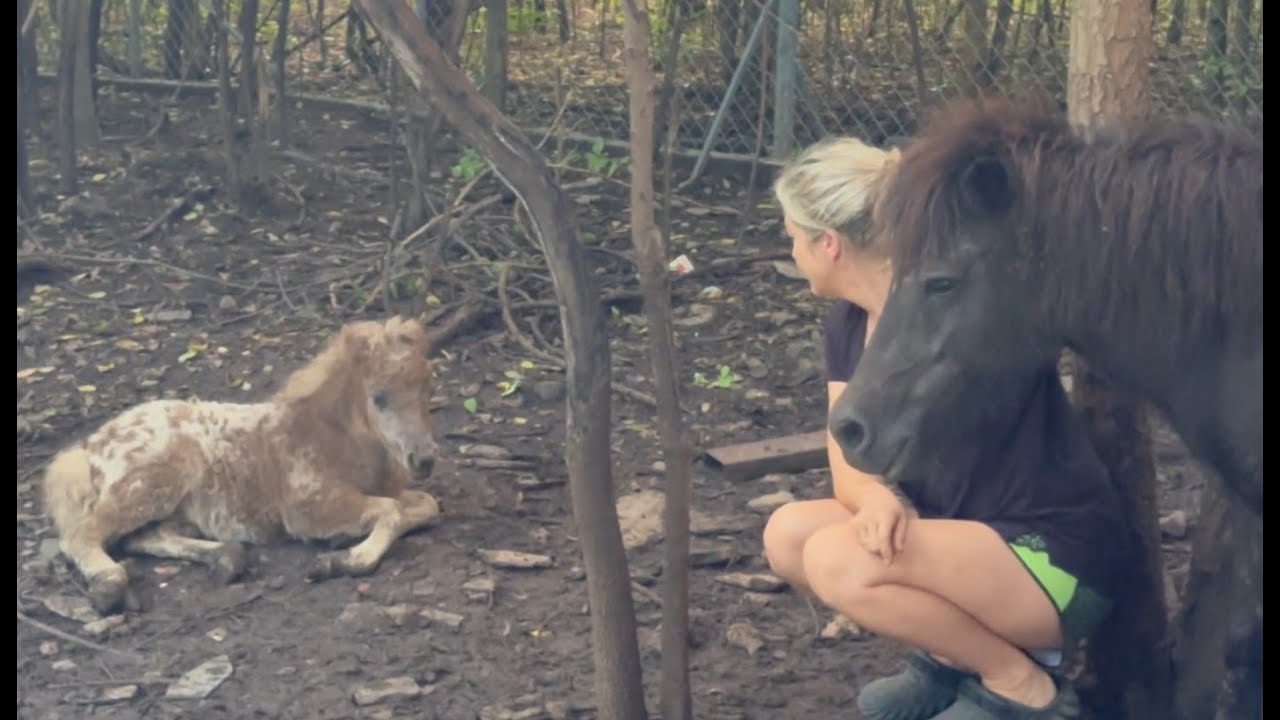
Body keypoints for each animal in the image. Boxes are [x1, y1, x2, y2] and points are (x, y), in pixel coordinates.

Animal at [41, 315, 445, 615]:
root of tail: (89, 448)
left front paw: (346, 541)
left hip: (172, 506)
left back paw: (227, 558)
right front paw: (342, 559)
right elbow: (390, 510)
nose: (423, 460)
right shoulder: (308, 509)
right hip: (151, 482)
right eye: (379, 397)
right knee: (81, 534)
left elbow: (425, 505)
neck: (332, 440)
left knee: (148, 536)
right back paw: (110, 585)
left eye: (428, 387)